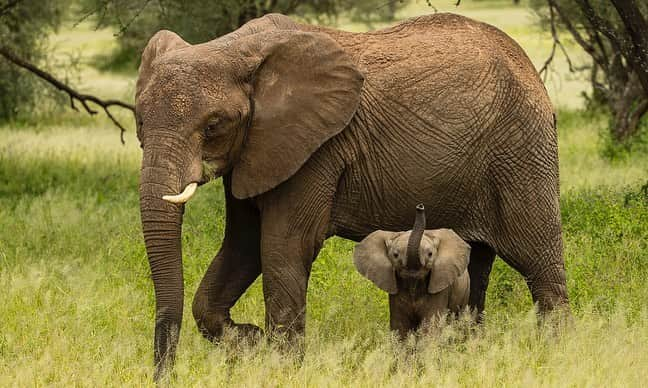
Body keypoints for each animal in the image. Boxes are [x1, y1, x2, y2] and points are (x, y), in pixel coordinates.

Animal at [354, 203, 470, 336]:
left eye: (430, 254)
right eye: (395, 255)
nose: (420, 207)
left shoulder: (440, 287)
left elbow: (430, 325)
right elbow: (400, 326)